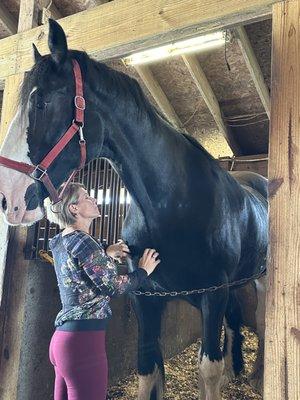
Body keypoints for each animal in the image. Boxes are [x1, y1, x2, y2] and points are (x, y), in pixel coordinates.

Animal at [0, 21, 268, 400]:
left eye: (41, 102)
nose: (8, 198)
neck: (175, 204)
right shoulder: (146, 298)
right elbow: (149, 368)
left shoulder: (213, 293)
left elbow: (208, 369)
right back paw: (237, 371)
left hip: (258, 279)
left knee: (261, 319)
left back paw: (258, 375)